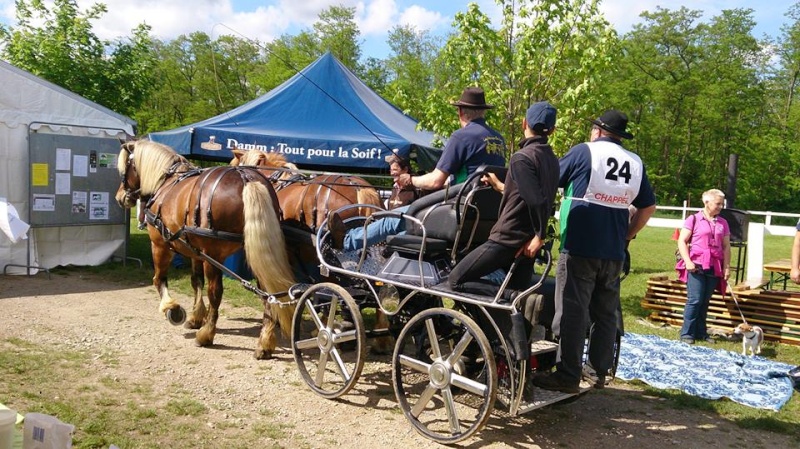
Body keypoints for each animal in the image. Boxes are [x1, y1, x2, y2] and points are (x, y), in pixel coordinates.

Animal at [115, 142, 296, 358]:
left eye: (124, 170)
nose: (119, 197)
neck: (166, 181)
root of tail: (246, 178)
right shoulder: (195, 252)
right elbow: (196, 281)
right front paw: (195, 317)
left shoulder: (160, 244)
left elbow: (159, 279)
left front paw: (171, 308)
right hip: (255, 251)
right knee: (266, 291)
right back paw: (265, 342)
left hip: (213, 254)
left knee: (215, 293)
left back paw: (207, 334)